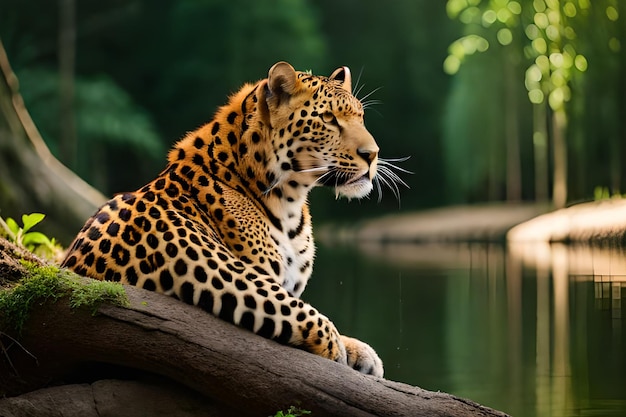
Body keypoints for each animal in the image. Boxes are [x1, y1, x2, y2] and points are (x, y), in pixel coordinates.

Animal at [61, 61, 398, 376]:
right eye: (328, 119)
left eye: (360, 117)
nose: (372, 154)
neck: (289, 200)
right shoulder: (220, 272)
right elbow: (301, 310)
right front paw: (336, 350)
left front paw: (360, 352)